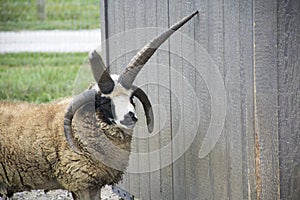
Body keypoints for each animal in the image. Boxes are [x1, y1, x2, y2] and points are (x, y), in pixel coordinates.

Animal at [0, 11, 197, 200]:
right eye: (104, 102)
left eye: (132, 98)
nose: (130, 117)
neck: (80, 129)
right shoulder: (80, 181)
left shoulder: (93, 184)